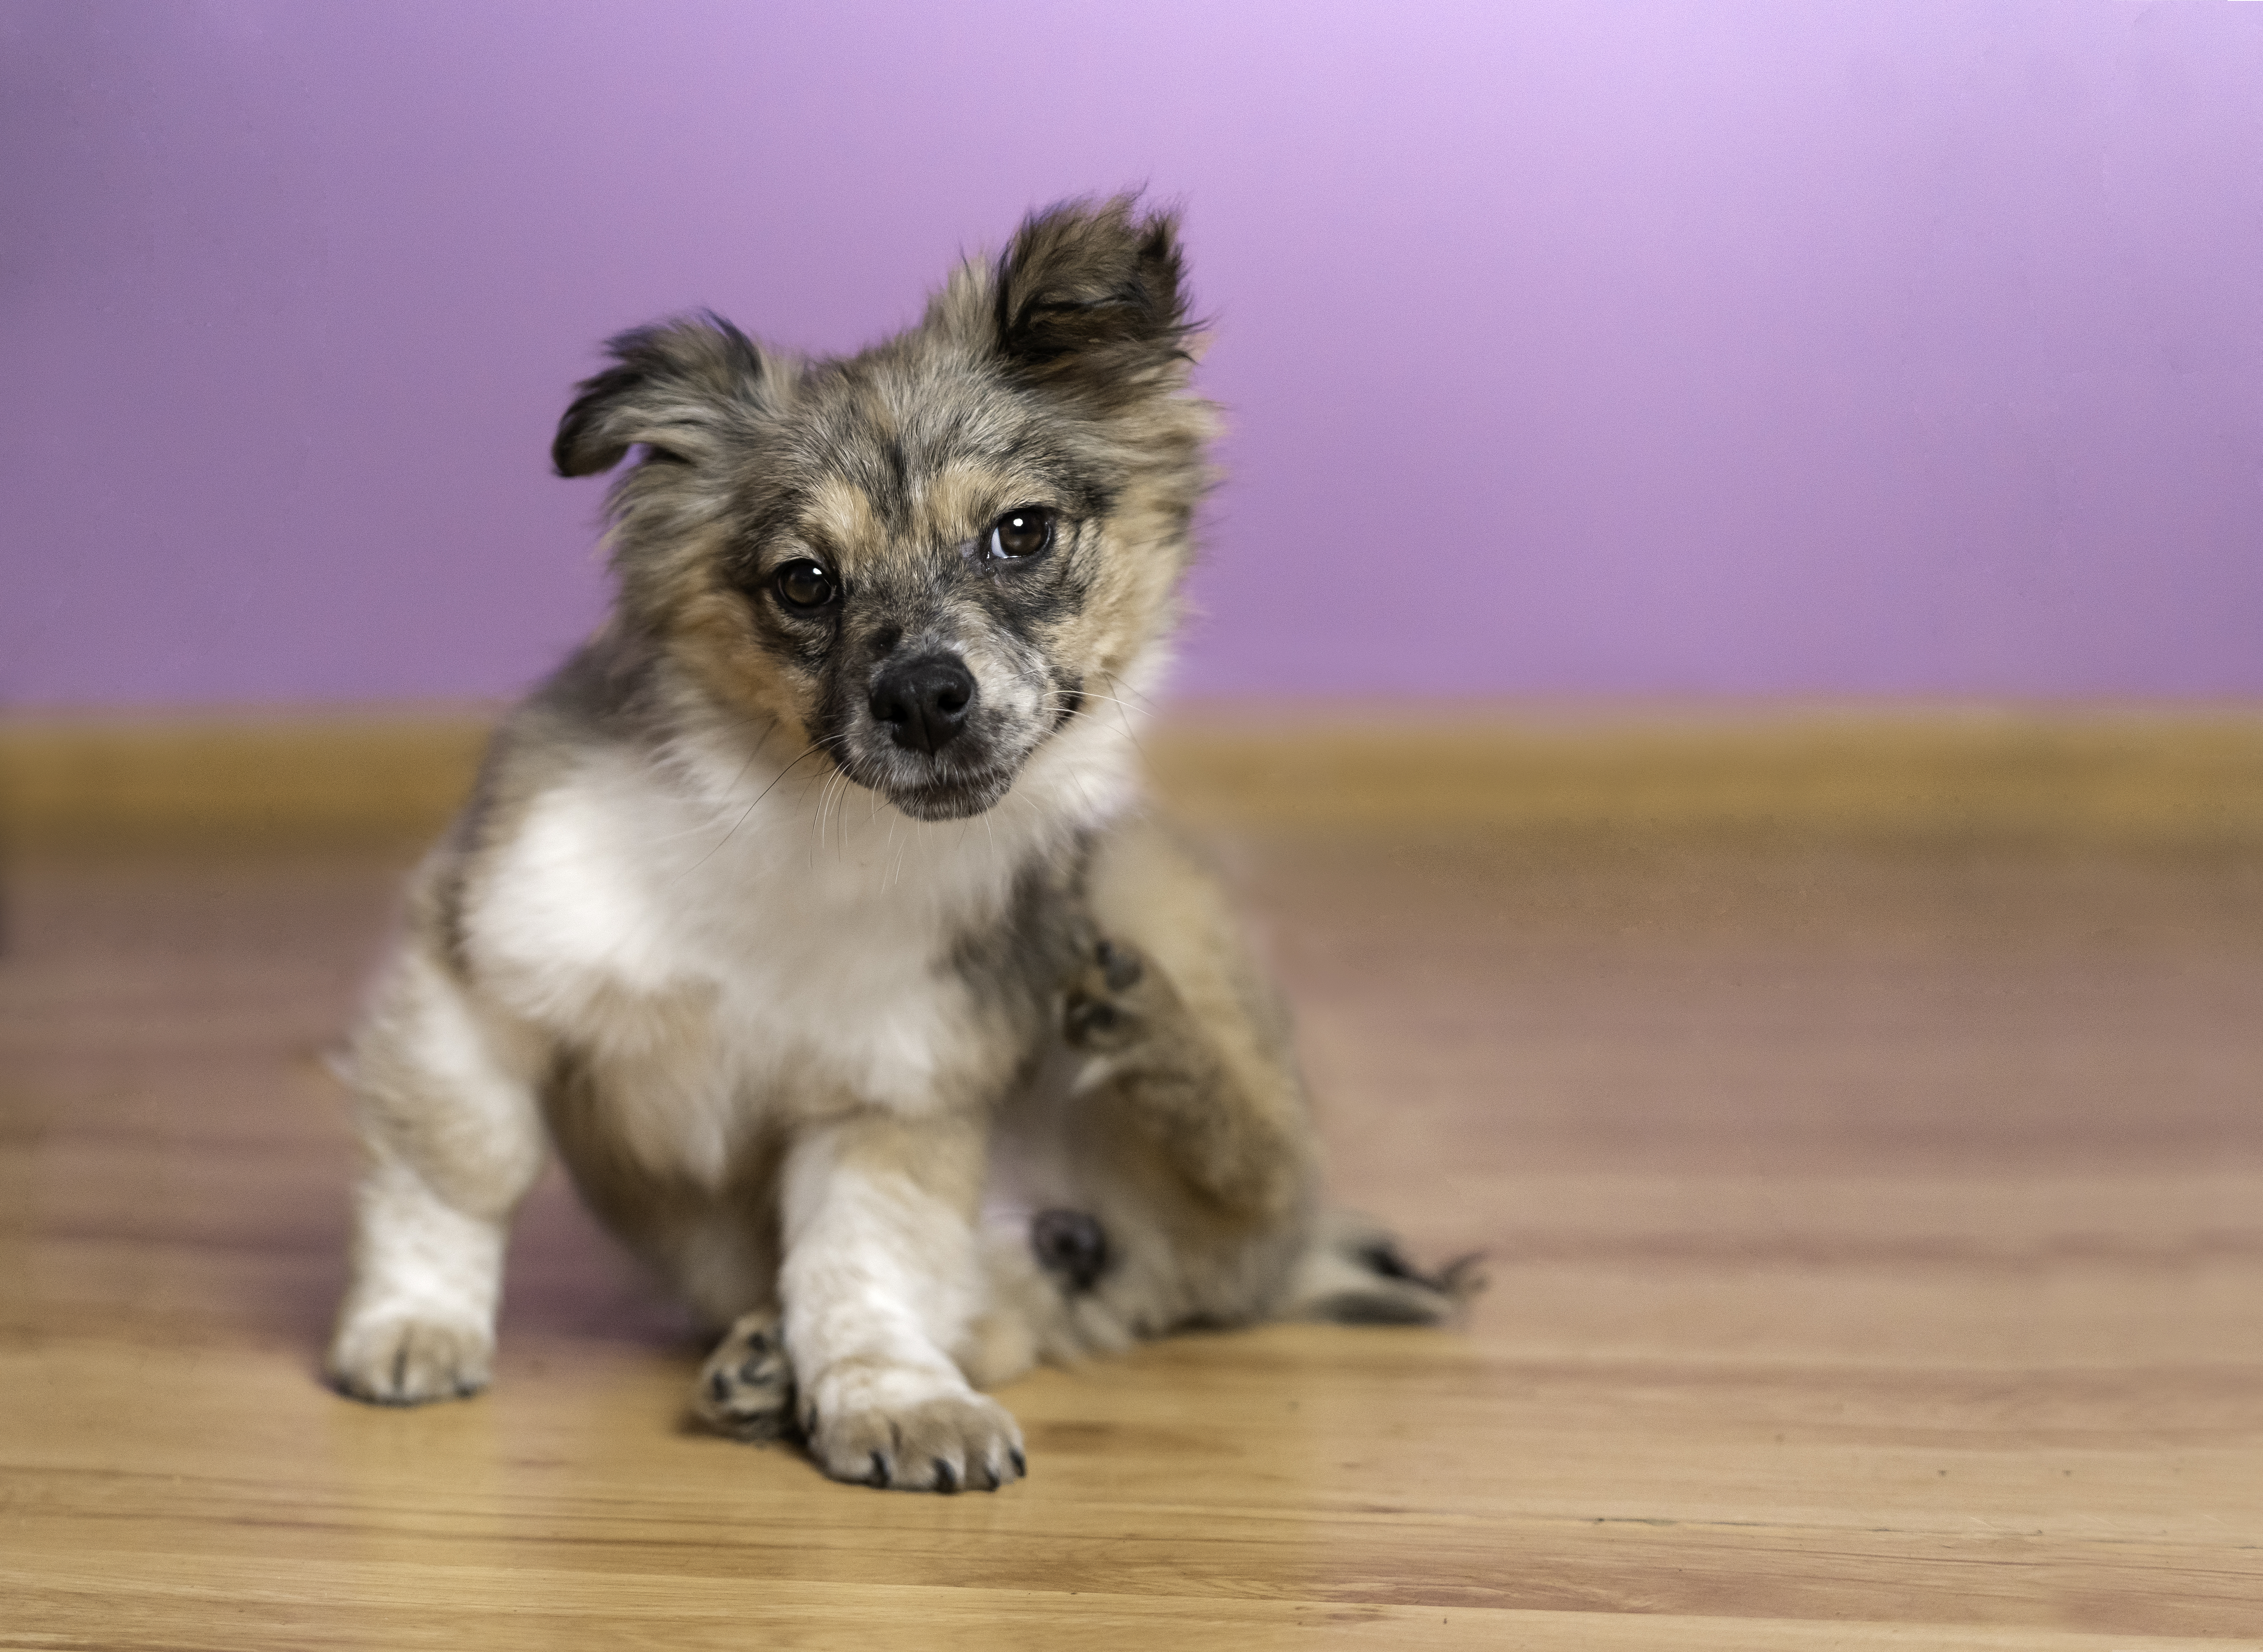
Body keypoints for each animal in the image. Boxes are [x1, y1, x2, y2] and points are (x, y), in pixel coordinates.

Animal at [328, 193, 1475, 1484]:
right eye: (804, 584)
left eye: (1020, 534)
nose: (925, 697)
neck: (805, 827)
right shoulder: (477, 968)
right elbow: (459, 1166)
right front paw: (414, 1325)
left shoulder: (889, 1094)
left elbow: (861, 1268)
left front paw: (889, 1399)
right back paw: (768, 1366)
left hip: (1144, 887)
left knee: (1267, 1174)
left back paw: (1148, 1033)